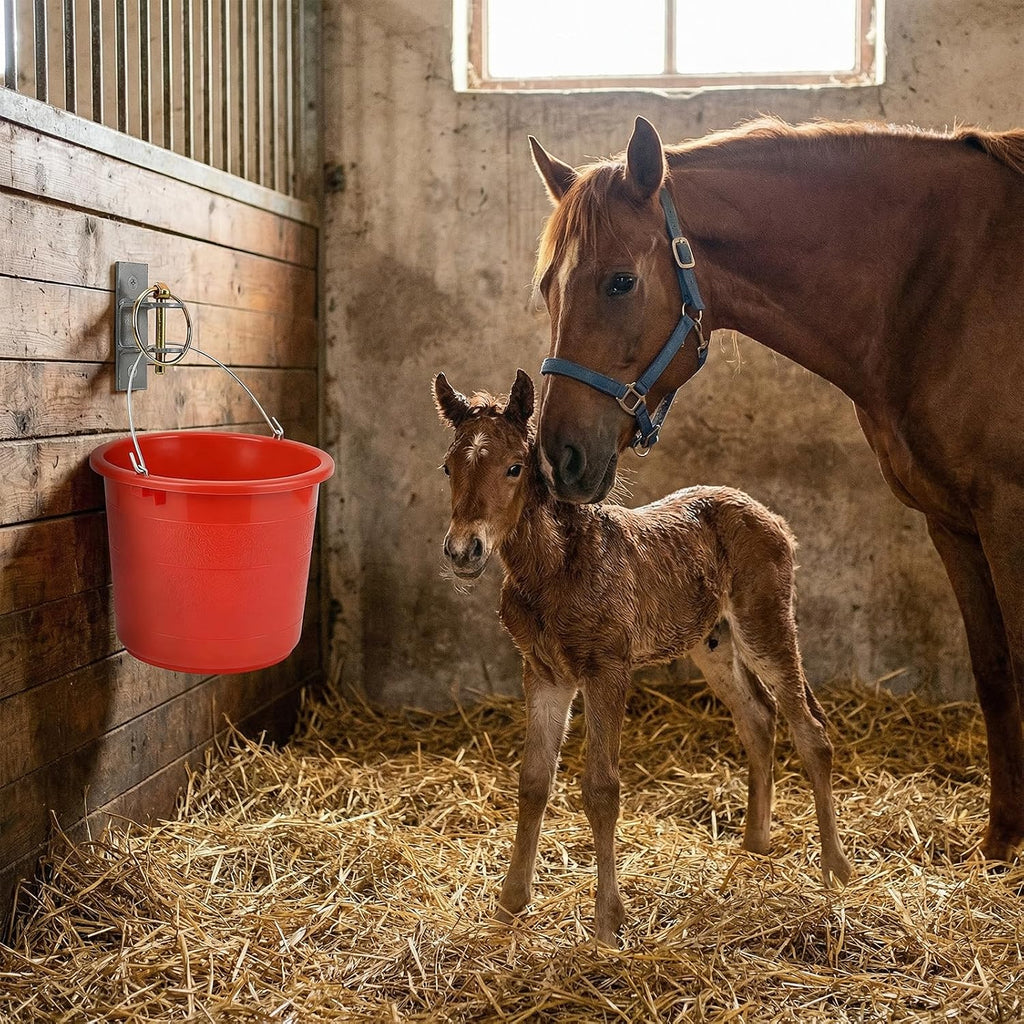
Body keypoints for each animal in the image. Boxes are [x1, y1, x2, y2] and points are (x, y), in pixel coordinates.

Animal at [434, 368, 851, 945]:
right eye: (448, 467)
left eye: (514, 467)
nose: (463, 551)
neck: (554, 568)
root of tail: (770, 517)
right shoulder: (543, 673)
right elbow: (534, 781)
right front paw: (510, 905)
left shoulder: (607, 669)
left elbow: (601, 789)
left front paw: (608, 923)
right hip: (712, 641)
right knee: (758, 718)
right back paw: (754, 847)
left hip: (764, 622)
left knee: (809, 730)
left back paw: (836, 868)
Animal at [527, 115, 1024, 862]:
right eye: (546, 288)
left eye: (619, 282)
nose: (558, 458)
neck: (943, 286)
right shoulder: (954, 521)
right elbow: (994, 671)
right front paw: (1000, 842)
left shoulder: (1008, 512)